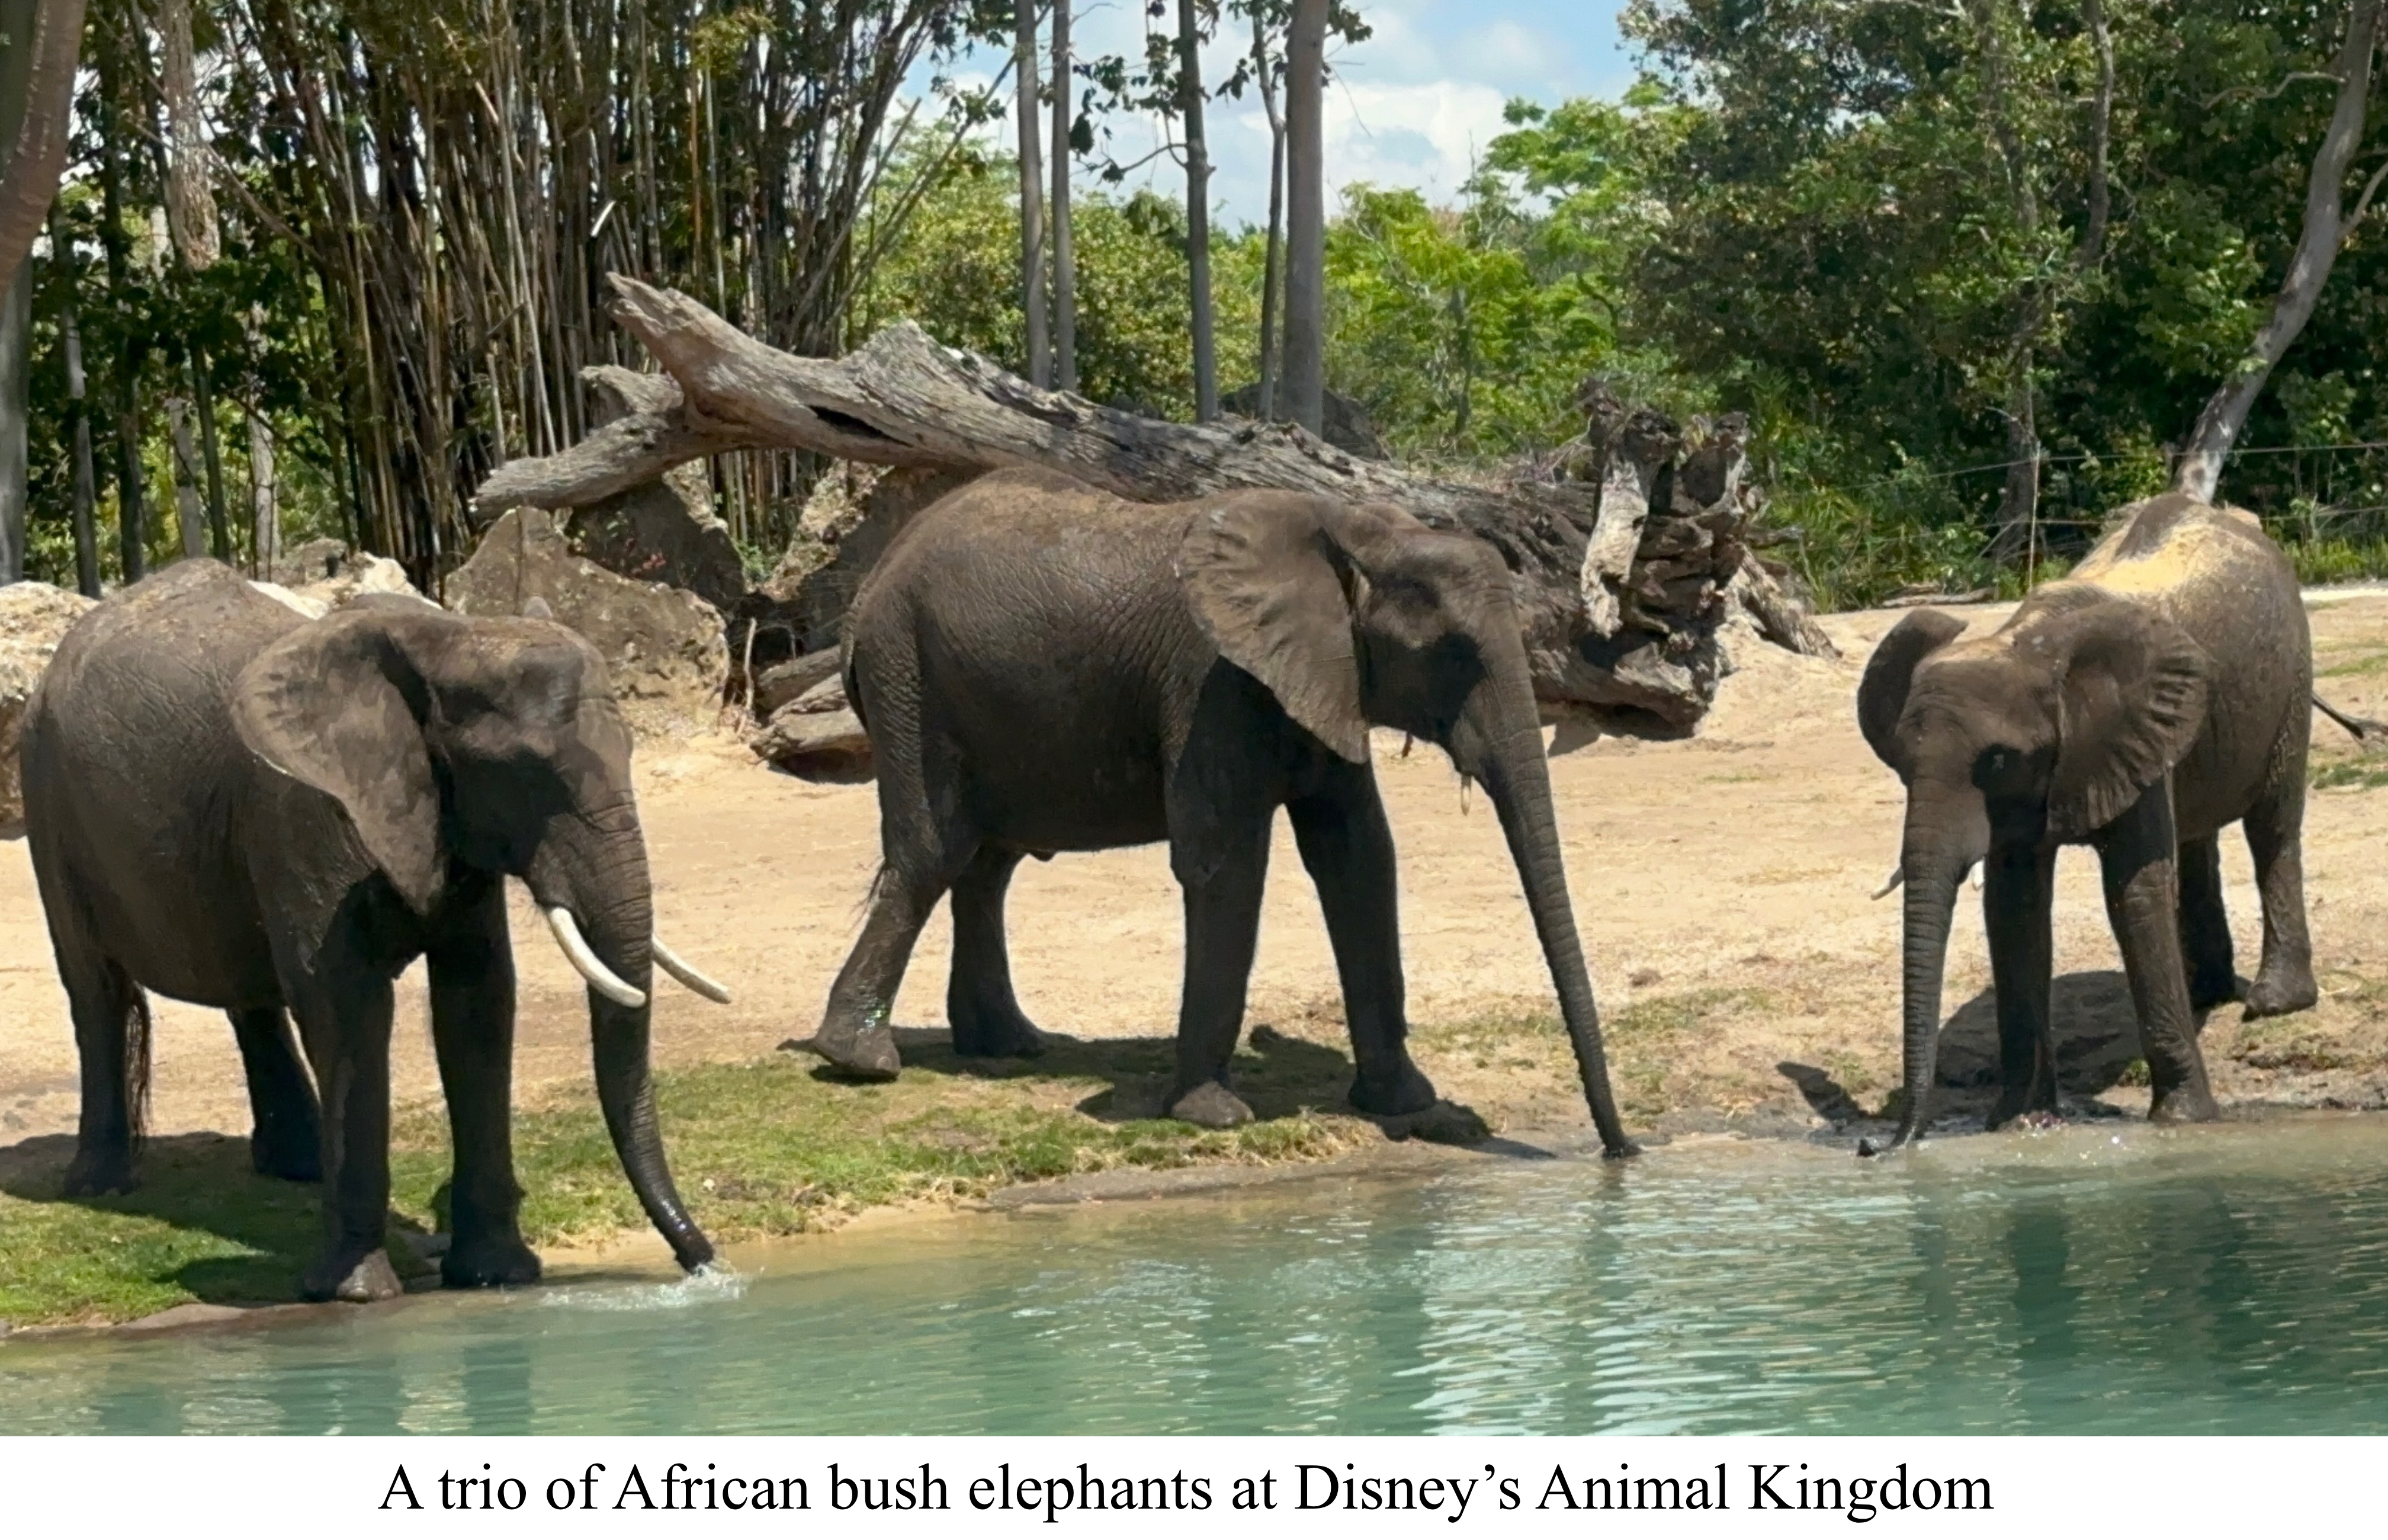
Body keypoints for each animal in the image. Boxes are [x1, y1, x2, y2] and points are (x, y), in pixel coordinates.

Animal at [21, 560, 729, 1300]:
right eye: (528, 772)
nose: (701, 1261)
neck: (447, 638)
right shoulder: (304, 812)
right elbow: (347, 1006)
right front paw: (356, 1293)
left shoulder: (449, 824)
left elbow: (478, 998)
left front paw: (496, 1275)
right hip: (47, 801)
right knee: (95, 988)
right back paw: (101, 1182)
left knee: (249, 990)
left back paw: (297, 1166)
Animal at [807, 466, 1637, 1156]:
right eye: (1455, 653)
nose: (1620, 1151)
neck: (1359, 531)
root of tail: (869, 586)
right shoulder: (1214, 682)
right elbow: (1227, 862)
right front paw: (1213, 1115)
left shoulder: (1321, 676)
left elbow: (1360, 855)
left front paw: (1407, 1104)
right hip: (910, 675)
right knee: (934, 854)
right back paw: (860, 1062)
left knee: (987, 865)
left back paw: (1007, 1045)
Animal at [1856, 492, 2317, 1152]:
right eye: (1900, 764)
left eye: (1996, 760)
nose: (1874, 1146)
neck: (2027, 645)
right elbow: (2014, 905)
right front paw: (2021, 1121)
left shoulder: (2129, 728)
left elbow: (2134, 891)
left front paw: (2185, 1122)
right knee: (2200, 837)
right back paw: (2207, 992)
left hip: (2292, 674)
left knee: (2272, 825)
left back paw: (2274, 1002)